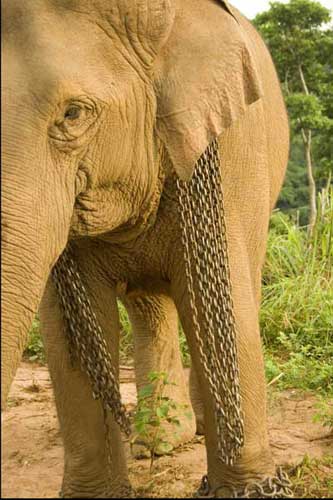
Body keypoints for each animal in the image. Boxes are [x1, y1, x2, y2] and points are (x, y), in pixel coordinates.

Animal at [1, 0, 288, 498]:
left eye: (73, 114)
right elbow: (65, 326)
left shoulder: (233, 153)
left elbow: (224, 300)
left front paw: (251, 487)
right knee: (149, 306)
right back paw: (157, 440)